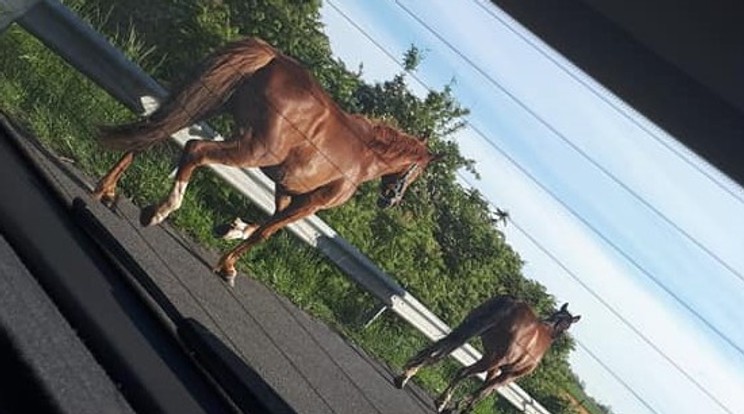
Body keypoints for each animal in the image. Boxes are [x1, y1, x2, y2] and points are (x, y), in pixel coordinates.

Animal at [396, 296, 580, 412]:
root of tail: (512, 304)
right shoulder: (507, 375)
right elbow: (484, 391)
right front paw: (458, 407)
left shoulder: (495, 368)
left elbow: (484, 390)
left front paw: (464, 407)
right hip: (492, 358)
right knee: (463, 371)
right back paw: (441, 402)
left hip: (467, 334)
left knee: (438, 350)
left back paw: (405, 376)